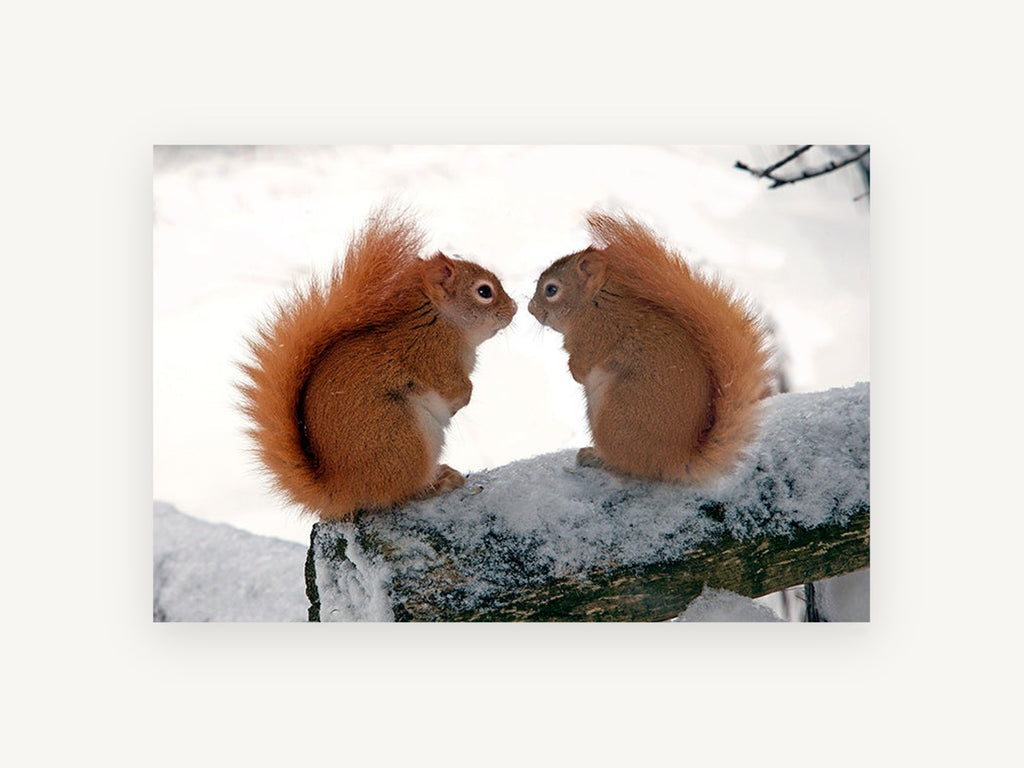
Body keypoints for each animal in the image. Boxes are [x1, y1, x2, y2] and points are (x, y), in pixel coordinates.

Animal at [238, 209, 517, 522]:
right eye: (484, 292)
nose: (514, 308)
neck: (441, 321)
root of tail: (344, 491)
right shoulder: (432, 358)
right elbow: (456, 386)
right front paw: (461, 401)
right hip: (404, 439)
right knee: (403, 493)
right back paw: (439, 482)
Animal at [528, 210, 774, 484]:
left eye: (551, 289)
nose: (530, 308)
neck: (594, 303)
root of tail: (674, 461)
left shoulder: (594, 337)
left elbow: (582, 362)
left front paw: (575, 373)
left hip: (618, 417)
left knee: (626, 464)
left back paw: (596, 457)